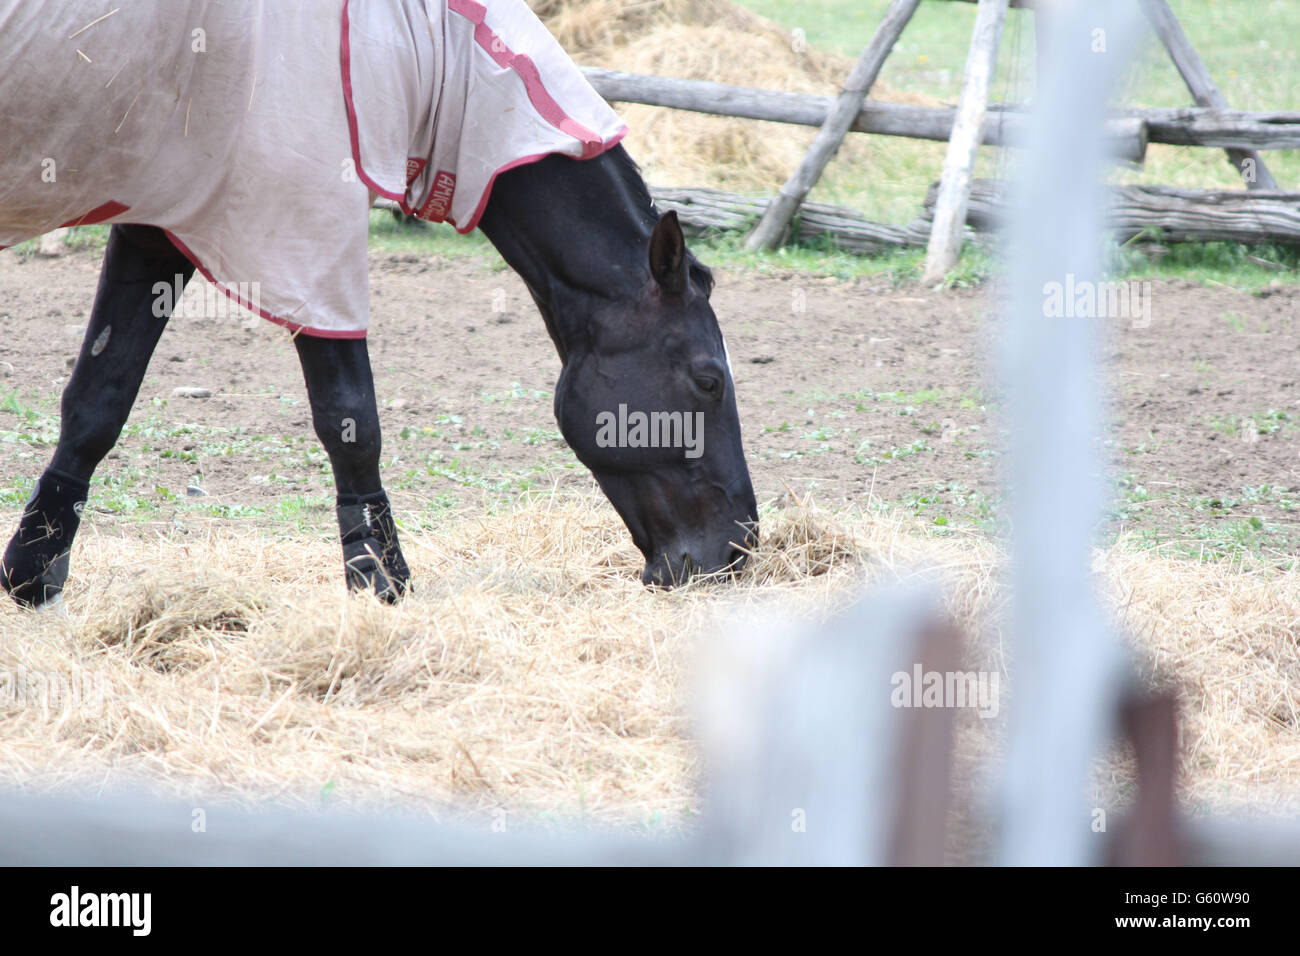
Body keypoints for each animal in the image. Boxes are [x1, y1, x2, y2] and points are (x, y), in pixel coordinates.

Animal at [0, 0, 759, 608]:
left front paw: (33, 571)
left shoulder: (156, 225)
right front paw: (378, 576)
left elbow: (99, 397)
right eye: (707, 381)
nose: (738, 551)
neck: (412, 38)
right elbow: (351, 420)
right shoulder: (308, 241)